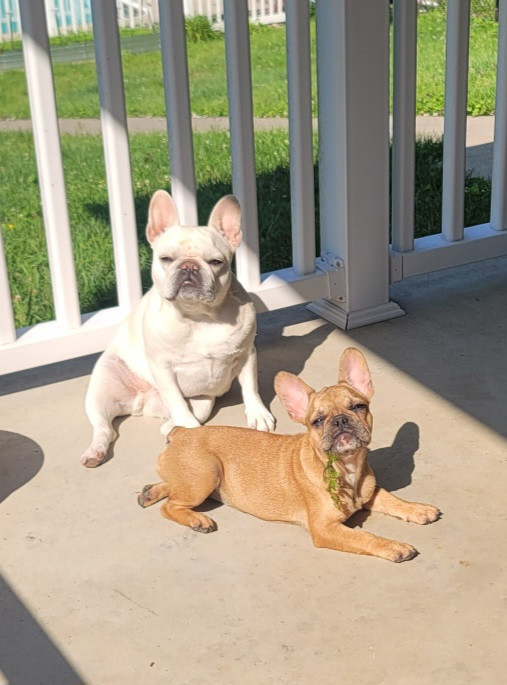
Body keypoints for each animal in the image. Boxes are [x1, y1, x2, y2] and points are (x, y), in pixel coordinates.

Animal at [81, 190, 275, 468]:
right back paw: (95, 451)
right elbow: (175, 398)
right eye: (166, 259)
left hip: (204, 401)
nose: (189, 267)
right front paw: (191, 434)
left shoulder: (247, 354)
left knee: (184, 414)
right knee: (104, 427)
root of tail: (142, 403)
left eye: (216, 262)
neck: (198, 316)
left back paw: (170, 428)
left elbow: (251, 386)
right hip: (101, 390)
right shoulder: (162, 367)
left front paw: (258, 414)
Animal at [138, 347, 440, 562]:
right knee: (172, 505)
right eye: (317, 421)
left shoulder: (371, 492)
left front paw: (418, 509)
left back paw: (150, 492)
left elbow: (391, 499)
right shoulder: (325, 529)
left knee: (172, 487)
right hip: (207, 472)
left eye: (358, 407)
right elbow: (367, 538)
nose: (341, 421)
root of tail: (180, 432)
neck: (347, 468)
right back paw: (196, 519)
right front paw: (394, 546)